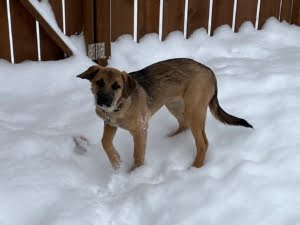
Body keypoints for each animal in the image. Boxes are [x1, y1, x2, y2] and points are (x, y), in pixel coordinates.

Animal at [76, 59, 252, 170]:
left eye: (117, 86)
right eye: (98, 82)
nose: (103, 102)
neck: (121, 105)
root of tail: (209, 71)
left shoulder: (141, 130)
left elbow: (138, 156)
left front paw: (134, 175)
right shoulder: (110, 124)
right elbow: (104, 142)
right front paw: (116, 162)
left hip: (193, 111)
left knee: (203, 143)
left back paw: (195, 168)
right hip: (173, 105)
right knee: (183, 125)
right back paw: (168, 140)